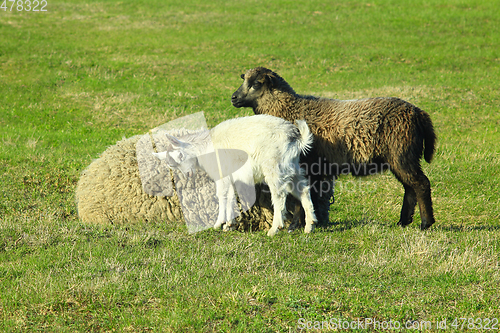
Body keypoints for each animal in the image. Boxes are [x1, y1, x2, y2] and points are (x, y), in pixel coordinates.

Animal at [151, 115, 316, 236]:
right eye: (171, 166)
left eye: (180, 155)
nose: (188, 174)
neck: (204, 148)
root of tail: (296, 138)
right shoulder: (229, 174)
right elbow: (230, 195)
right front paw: (229, 224)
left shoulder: (221, 173)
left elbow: (222, 196)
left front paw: (218, 223)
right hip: (291, 166)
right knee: (302, 189)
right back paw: (310, 225)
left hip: (274, 165)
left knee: (279, 195)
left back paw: (275, 228)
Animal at [232, 66, 436, 230]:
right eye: (243, 79)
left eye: (256, 83)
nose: (233, 98)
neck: (289, 108)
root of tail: (418, 113)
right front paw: (308, 222)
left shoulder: (303, 164)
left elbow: (300, 197)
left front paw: (296, 225)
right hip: (399, 158)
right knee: (410, 187)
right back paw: (403, 222)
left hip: (402, 154)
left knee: (421, 184)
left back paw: (426, 223)